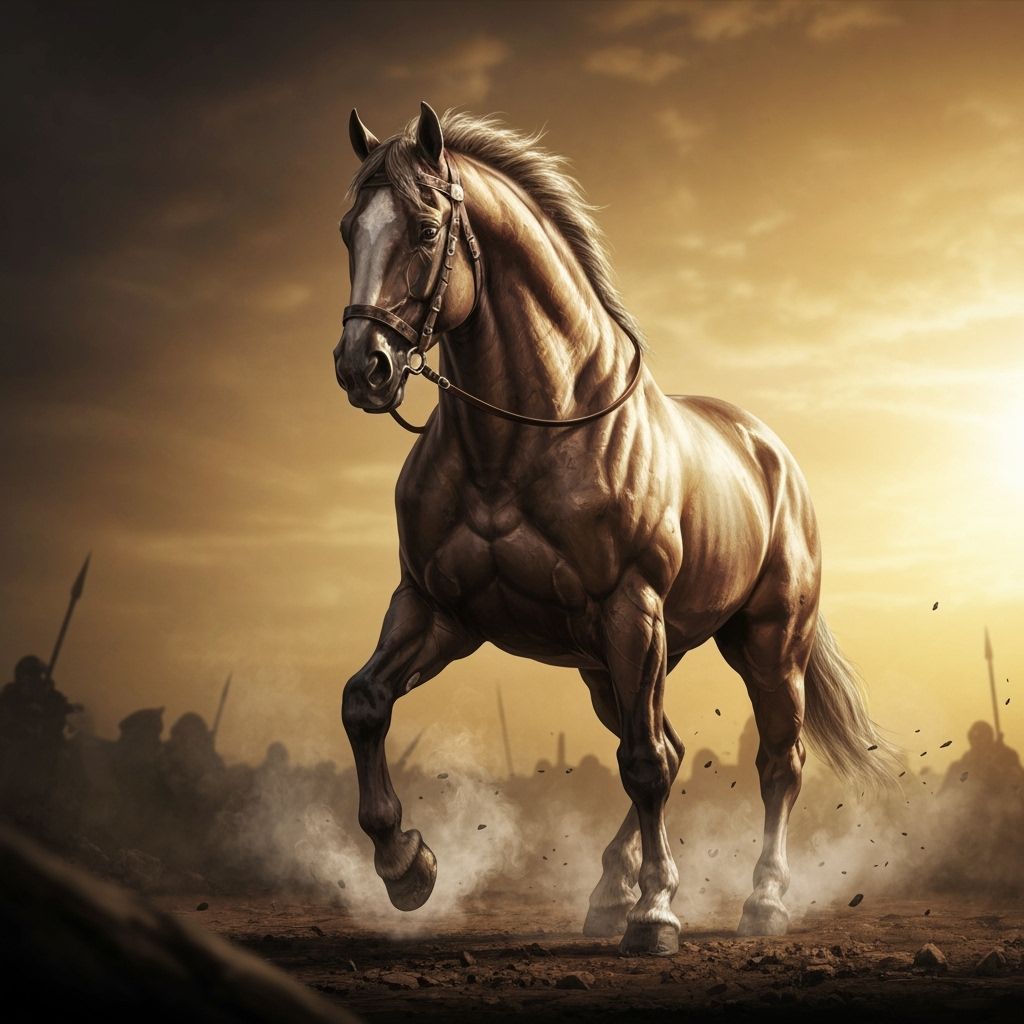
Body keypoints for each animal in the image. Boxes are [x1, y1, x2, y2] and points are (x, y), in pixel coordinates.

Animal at [331, 102, 898, 955]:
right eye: (347, 230)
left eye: (427, 229)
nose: (362, 365)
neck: (521, 442)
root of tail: (770, 453)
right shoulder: (435, 610)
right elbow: (364, 701)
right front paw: (408, 867)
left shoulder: (632, 609)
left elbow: (643, 765)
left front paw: (657, 916)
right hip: (609, 664)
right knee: (669, 742)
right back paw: (608, 891)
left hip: (765, 642)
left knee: (774, 761)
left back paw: (760, 903)